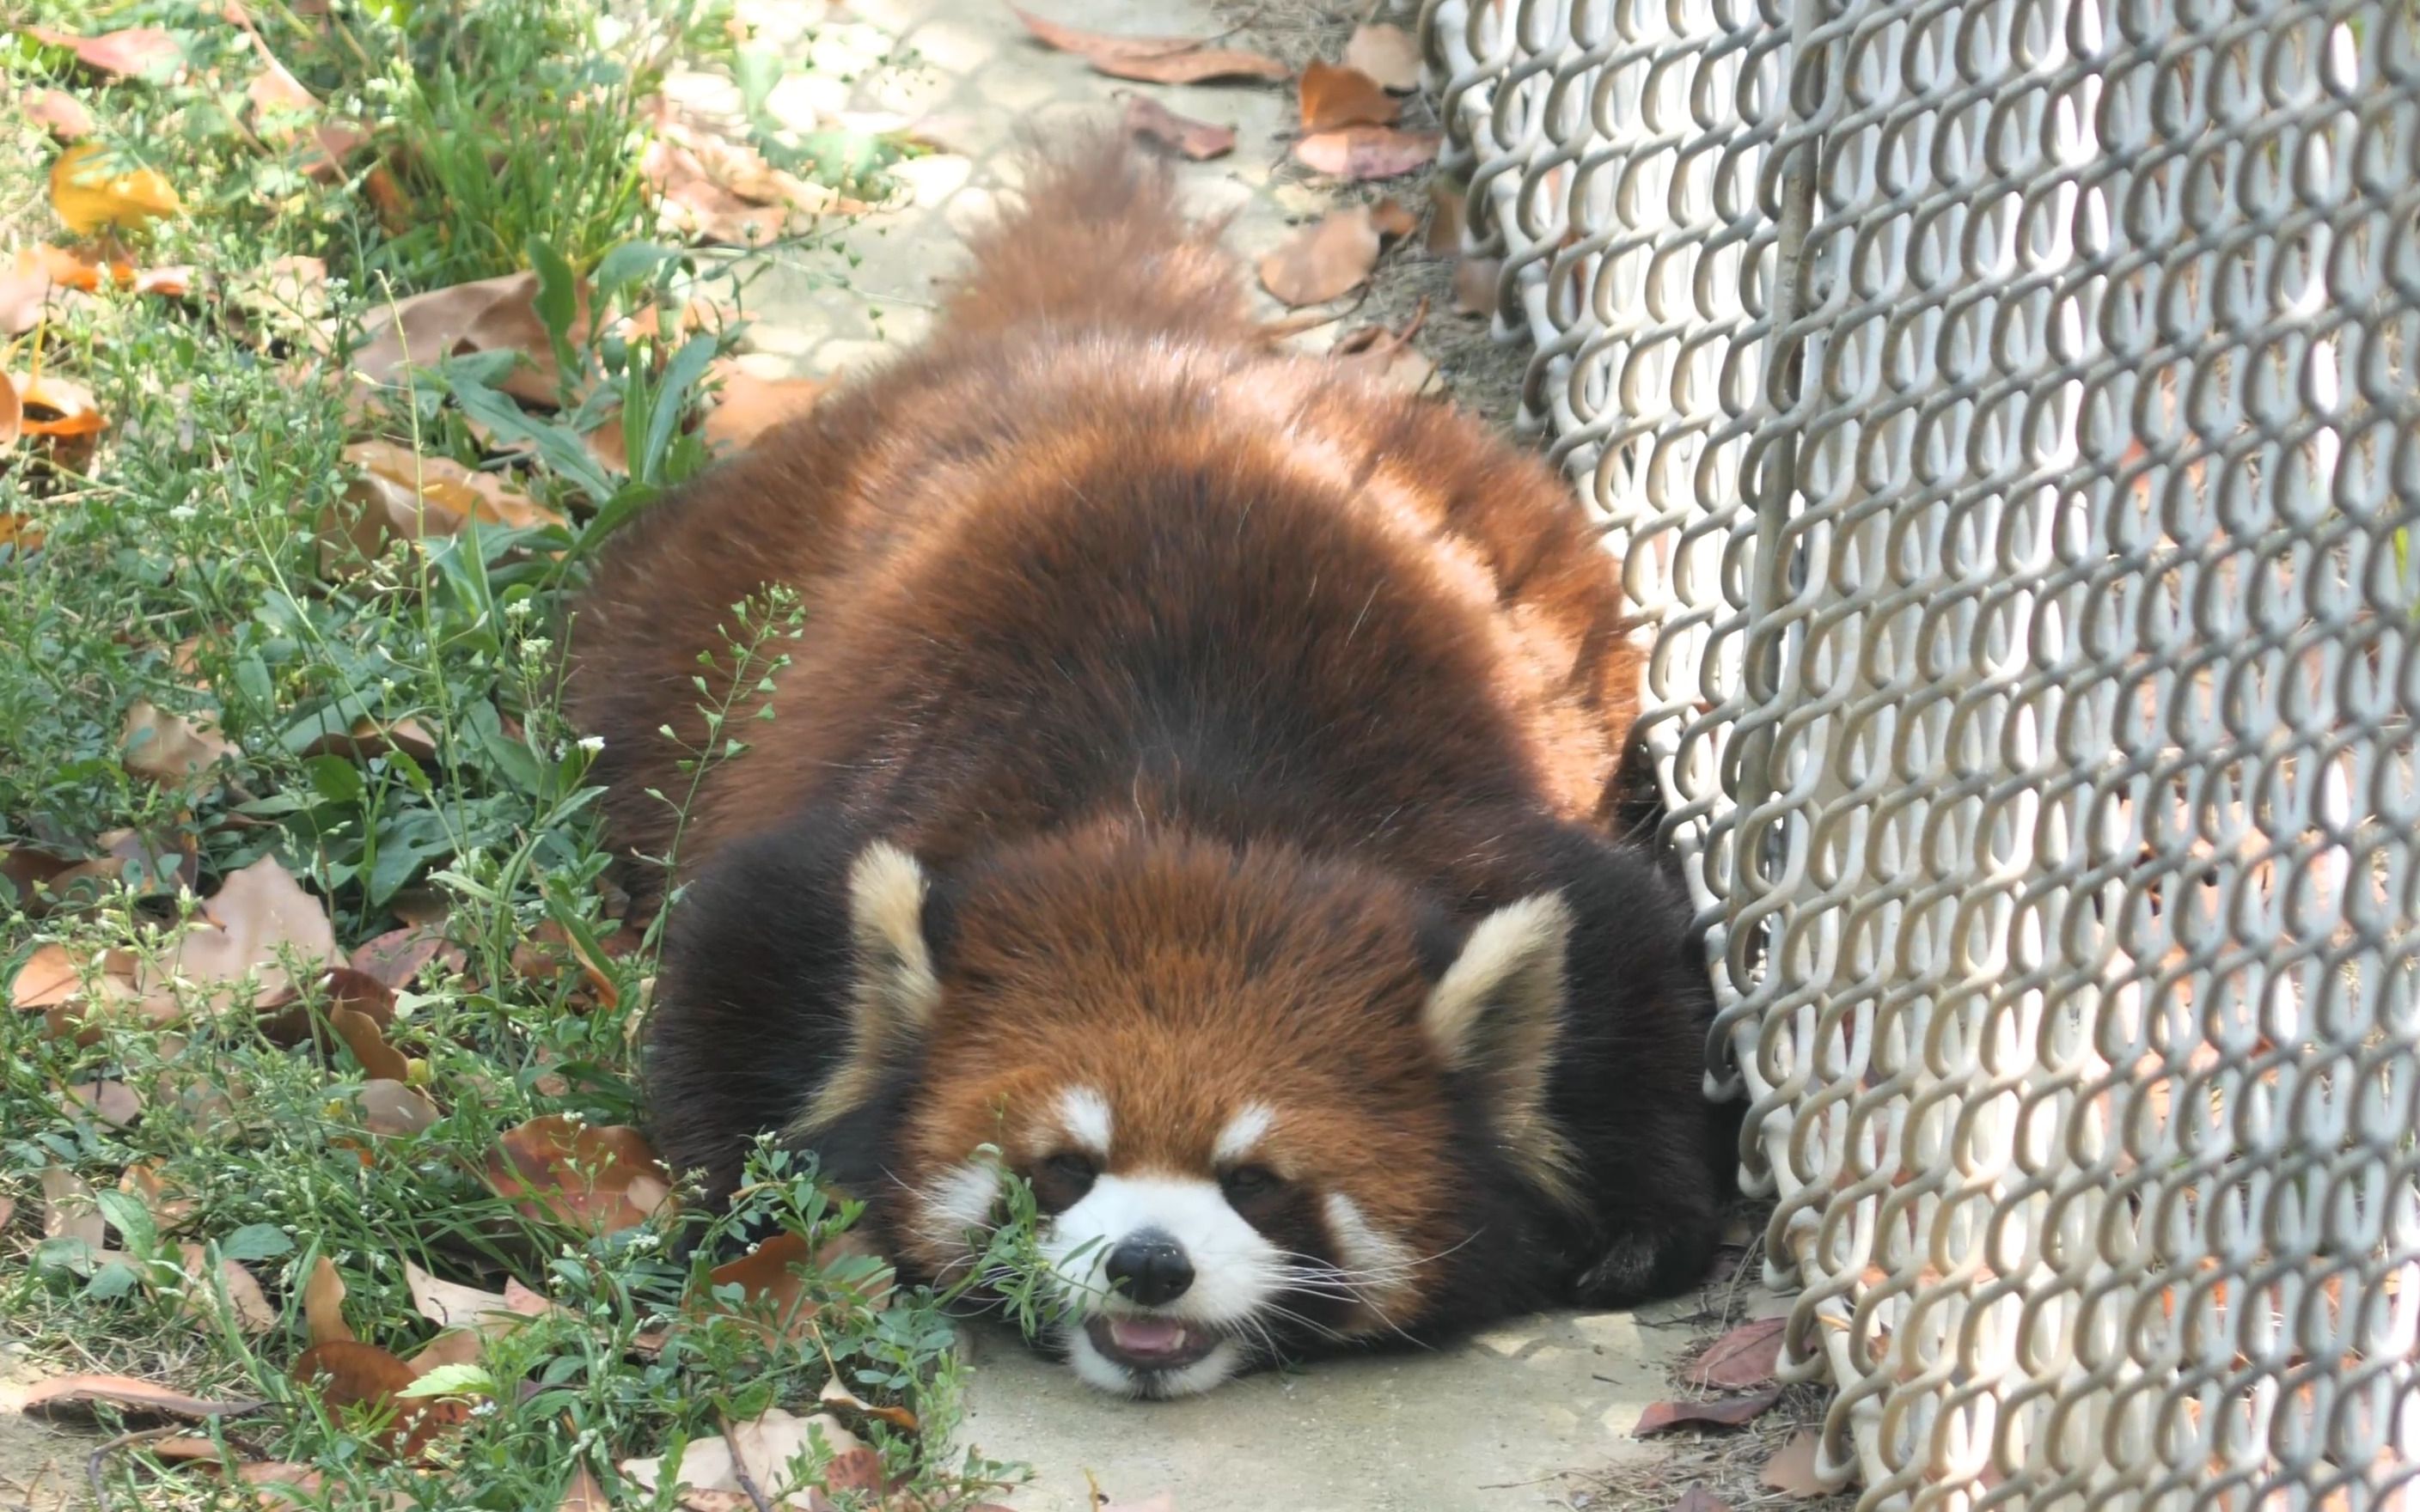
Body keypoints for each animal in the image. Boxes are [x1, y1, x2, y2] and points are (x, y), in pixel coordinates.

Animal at [565, 135, 1742, 1393]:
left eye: (1257, 1182)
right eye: (1060, 1167)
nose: (1147, 1263)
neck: (1182, 817)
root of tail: (1126, 347)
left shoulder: (1489, 844)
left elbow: (1635, 972)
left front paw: (1637, 1227)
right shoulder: (863, 824)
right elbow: (733, 956)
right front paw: (753, 1208)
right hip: (712, 603)